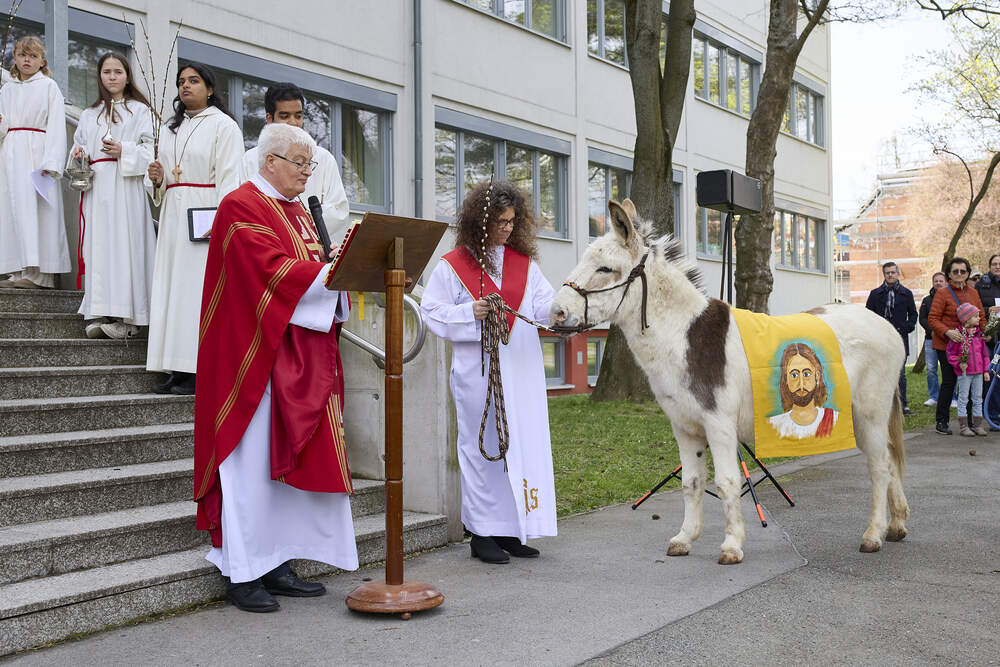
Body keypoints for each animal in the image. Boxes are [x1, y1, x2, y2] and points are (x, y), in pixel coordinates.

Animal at [549, 199, 909, 564]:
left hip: (868, 415)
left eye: (605, 268)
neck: (684, 337)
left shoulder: (718, 423)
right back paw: (896, 526)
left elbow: (726, 482)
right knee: (890, 460)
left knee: (879, 467)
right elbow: (691, 482)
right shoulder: (685, 426)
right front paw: (685, 538)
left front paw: (732, 545)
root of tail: (885, 325)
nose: (557, 313)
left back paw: (873, 535)